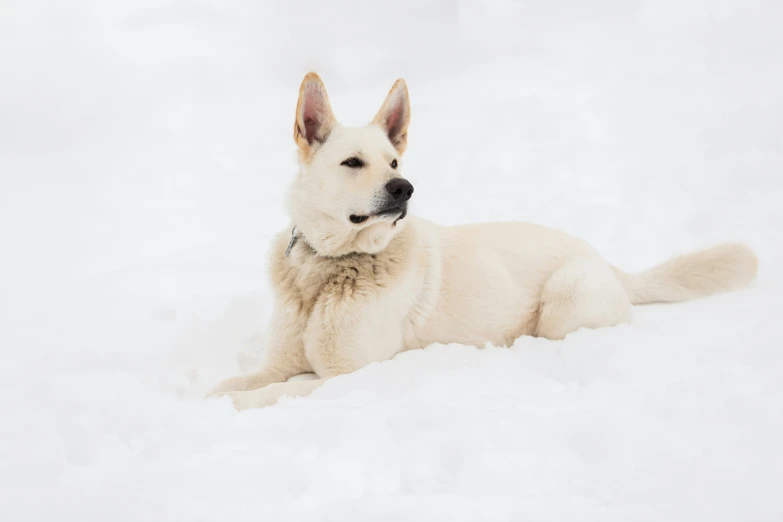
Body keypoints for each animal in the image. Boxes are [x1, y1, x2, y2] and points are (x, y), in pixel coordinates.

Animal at [210, 72, 760, 406]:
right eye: (352, 163)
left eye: (394, 161)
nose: (404, 188)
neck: (329, 268)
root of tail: (607, 262)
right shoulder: (279, 361)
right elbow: (241, 379)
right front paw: (213, 394)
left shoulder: (346, 375)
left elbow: (277, 391)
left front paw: (235, 404)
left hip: (565, 299)